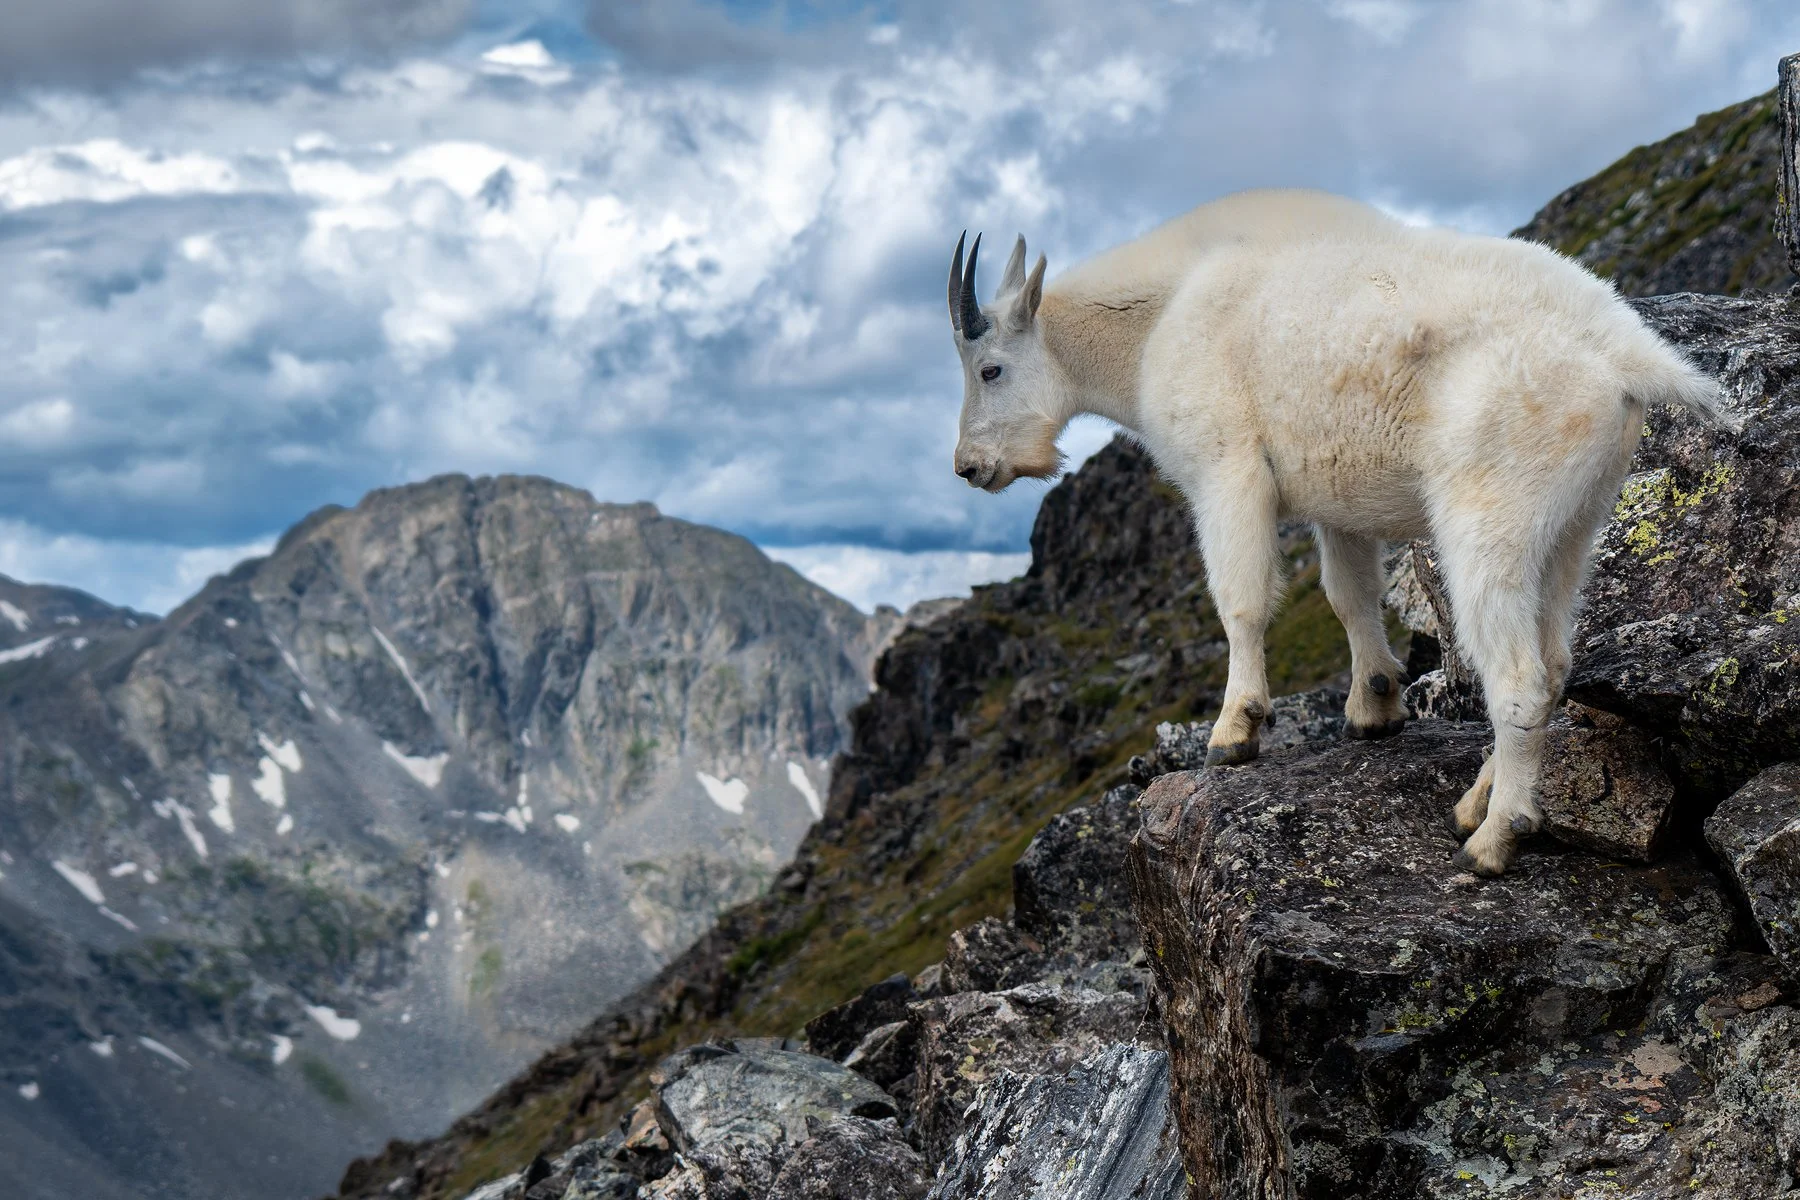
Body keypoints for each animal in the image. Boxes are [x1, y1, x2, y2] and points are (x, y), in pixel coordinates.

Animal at [946, 189, 1722, 876]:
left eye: (990, 368)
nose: (969, 467)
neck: (1156, 320)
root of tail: (1627, 355)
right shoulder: (1337, 502)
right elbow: (1348, 595)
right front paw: (1373, 706)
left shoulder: (1227, 471)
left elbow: (1241, 601)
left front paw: (1234, 730)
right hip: (1574, 526)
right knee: (1556, 662)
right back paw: (1476, 801)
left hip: (1490, 518)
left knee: (1519, 678)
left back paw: (1495, 838)